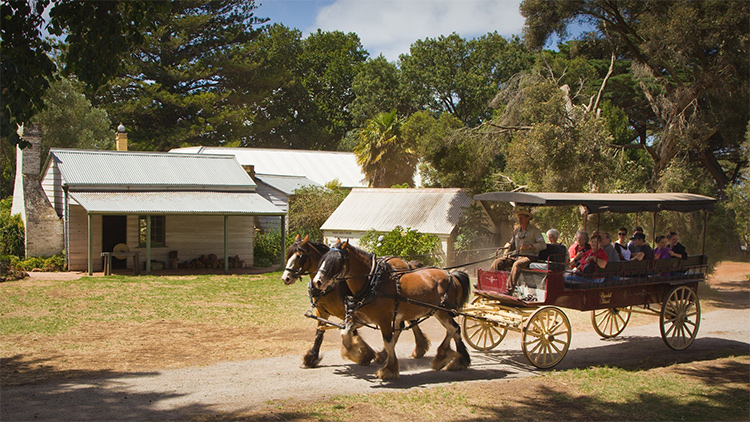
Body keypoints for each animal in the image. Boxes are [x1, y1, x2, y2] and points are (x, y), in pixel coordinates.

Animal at [282, 236, 432, 368]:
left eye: (299, 256)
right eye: (289, 254)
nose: (286, 278)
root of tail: (407, 263)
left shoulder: (347, 312)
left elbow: (352, 331)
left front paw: (364, 354)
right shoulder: (322, 311)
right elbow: (320, 334)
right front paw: (311, 357)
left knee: (404, 324)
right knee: (407, 322)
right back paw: (416, 349)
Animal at [312, 239, 470, 380]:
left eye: (337, 261)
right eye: (324, 259)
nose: (317, 282)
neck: (373, 283)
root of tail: (451, 275)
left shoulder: (384, 319)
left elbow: (388, 342)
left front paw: (389, 369)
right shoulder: (363, 318)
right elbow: (345, 333)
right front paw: (357, 354)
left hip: (442, 312)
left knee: (454, 329)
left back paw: (451, 358)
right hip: (438, 312)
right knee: (453, 330)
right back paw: (452, 359)